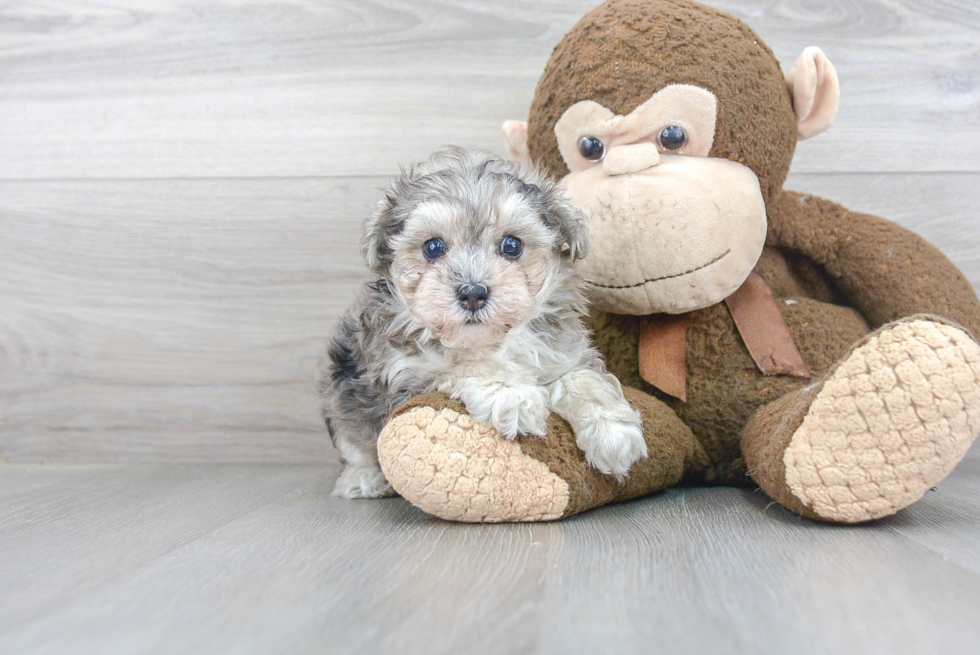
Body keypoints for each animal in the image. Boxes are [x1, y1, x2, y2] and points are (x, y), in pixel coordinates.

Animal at [318, 147, 648, 498]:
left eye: (512, 245)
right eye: (433, 247)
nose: (473, 293)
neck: (492, 340)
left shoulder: (564, 352)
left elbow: (582, 379)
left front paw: (613, 432)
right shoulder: (404, 377)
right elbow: (463, 366)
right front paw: (510, 393)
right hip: (339, 387)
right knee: (353, 443)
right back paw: (364, 479)